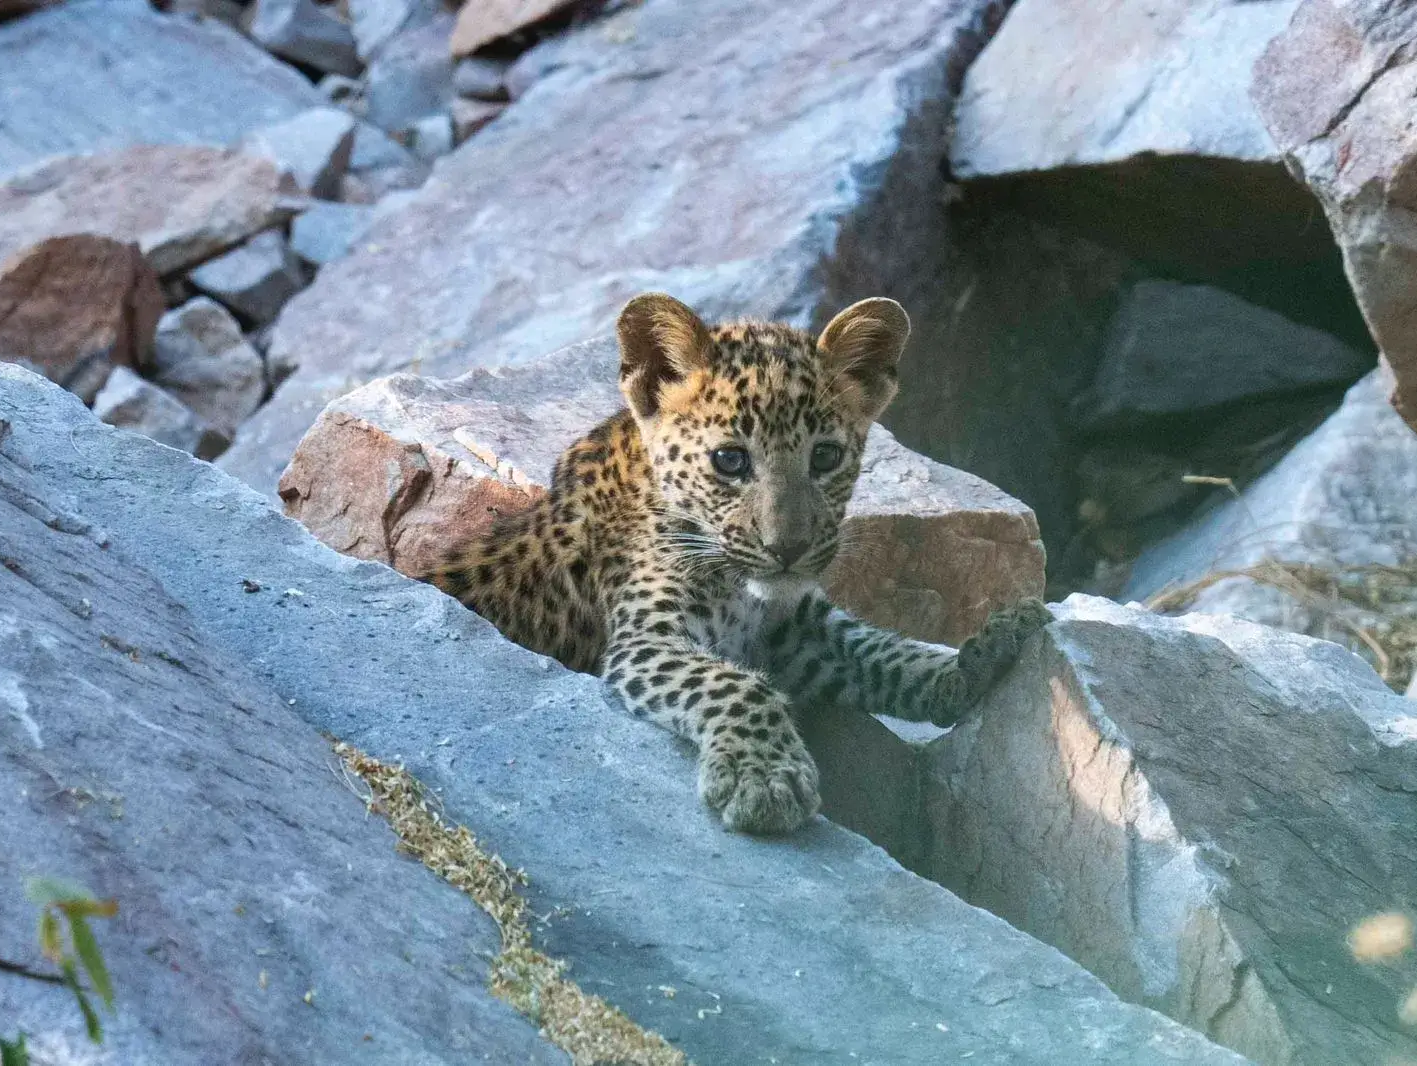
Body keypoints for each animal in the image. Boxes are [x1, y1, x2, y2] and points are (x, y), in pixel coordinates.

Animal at [424, 293, 1051, 834]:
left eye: (826, 457)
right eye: (730, 461)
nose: (788, 549)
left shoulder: (795, 630)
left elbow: (879, 651)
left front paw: (975, 657)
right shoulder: (647, 638)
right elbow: (732, 683)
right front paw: (766, 779)